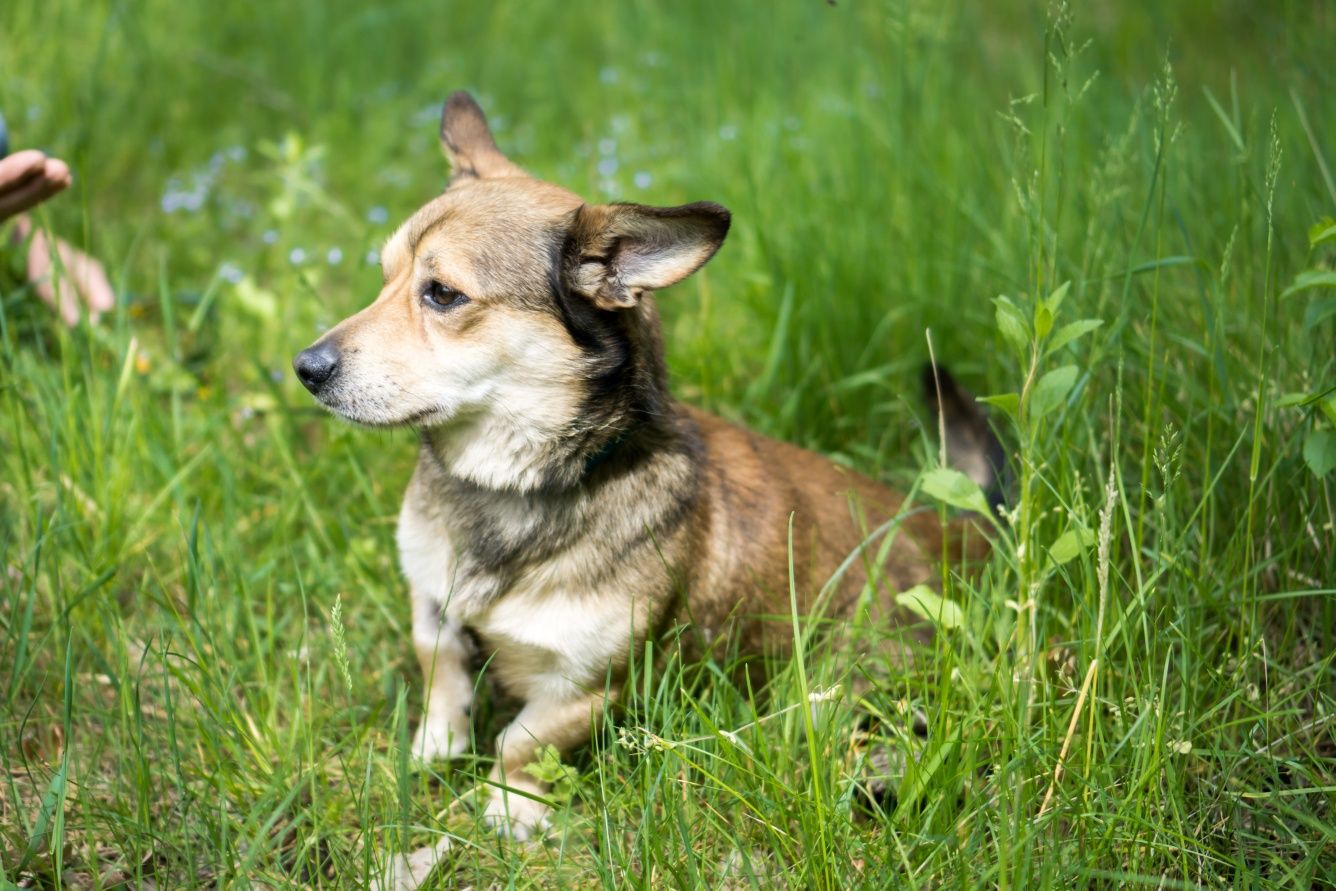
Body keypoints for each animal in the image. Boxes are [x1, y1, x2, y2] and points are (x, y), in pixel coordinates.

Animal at [295, 92, 1004, 849]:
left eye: (443, 294)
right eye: (385, 278)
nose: (305, 368)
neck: (515, 486)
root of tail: (956, 531)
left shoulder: (584, 685)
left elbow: (523, 743)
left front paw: (510, 809)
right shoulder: (432, 603)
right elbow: (442, 668)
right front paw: (436, 746)